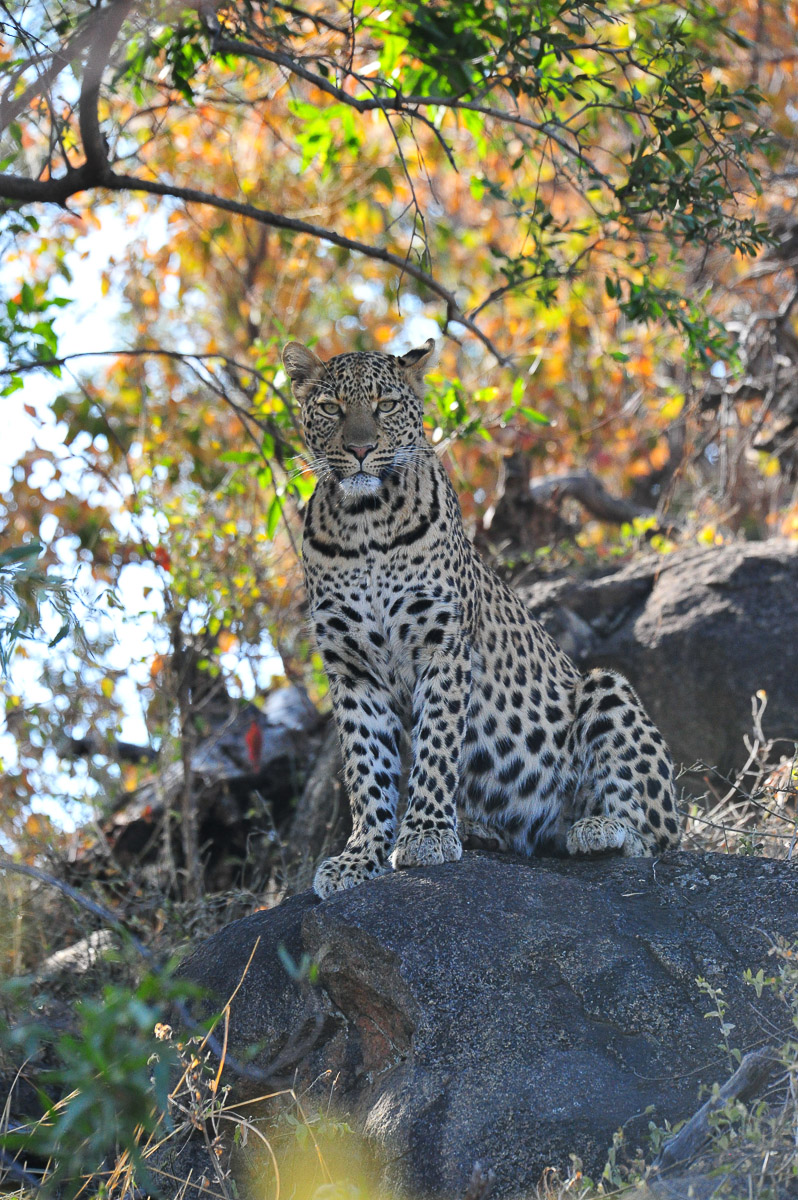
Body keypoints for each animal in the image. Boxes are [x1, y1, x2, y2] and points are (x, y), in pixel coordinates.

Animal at [282, 337, 682, 899]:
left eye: (386, 405)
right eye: (331, 408)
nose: (360, 450)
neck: (365, 523)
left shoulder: (442, 645)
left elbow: (436, 745)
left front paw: (425, 835)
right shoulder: (351, 668)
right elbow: (366, 767)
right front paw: (362, 855)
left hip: (607, 689)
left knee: (655, 836)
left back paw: (599, 829)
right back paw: (480, 830)